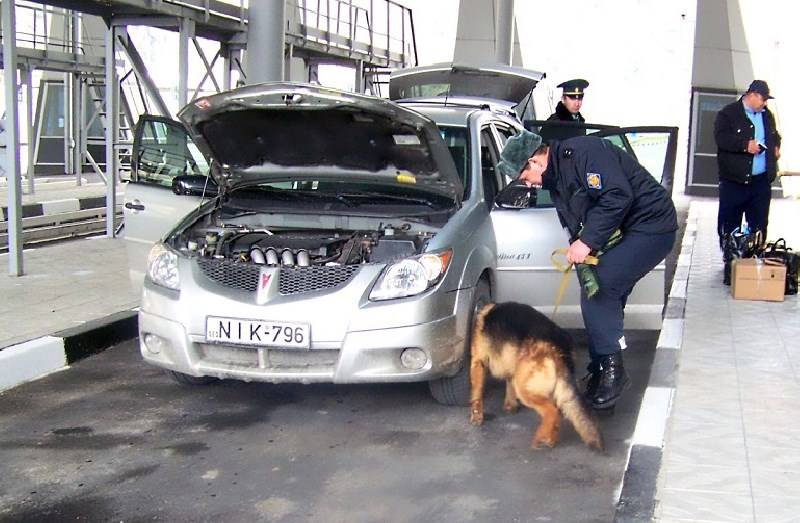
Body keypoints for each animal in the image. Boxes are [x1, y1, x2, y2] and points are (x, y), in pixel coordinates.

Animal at [466, 300, 604, 452]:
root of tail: (557, 347)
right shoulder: (511, 366)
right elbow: (509, 383)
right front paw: (510, 405)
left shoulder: (478, 363)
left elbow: (477, 392)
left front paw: (476, 415)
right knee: (557, 413)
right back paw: (550, 439)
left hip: (524, 388)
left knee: (551, 411)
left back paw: (539, 438)